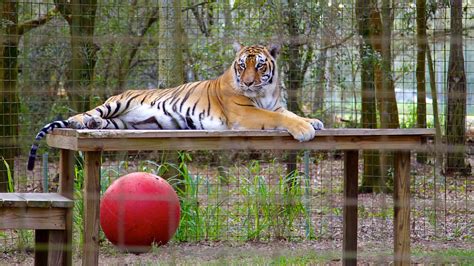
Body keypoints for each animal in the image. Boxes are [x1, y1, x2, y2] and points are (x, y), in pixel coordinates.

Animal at [27, 42, 324, 169]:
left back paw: (94, 124)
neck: (264, 91)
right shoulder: (245, 112)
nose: (249, 82)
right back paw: (80, 121)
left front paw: (314, 121)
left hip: (126, 122)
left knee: (105, 122)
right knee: (87, 112)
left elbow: (289, 112)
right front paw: (305, 129)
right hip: (115, 103)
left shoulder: (274, 105)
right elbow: (281, 118)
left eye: (260, 65)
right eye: (242, 66)